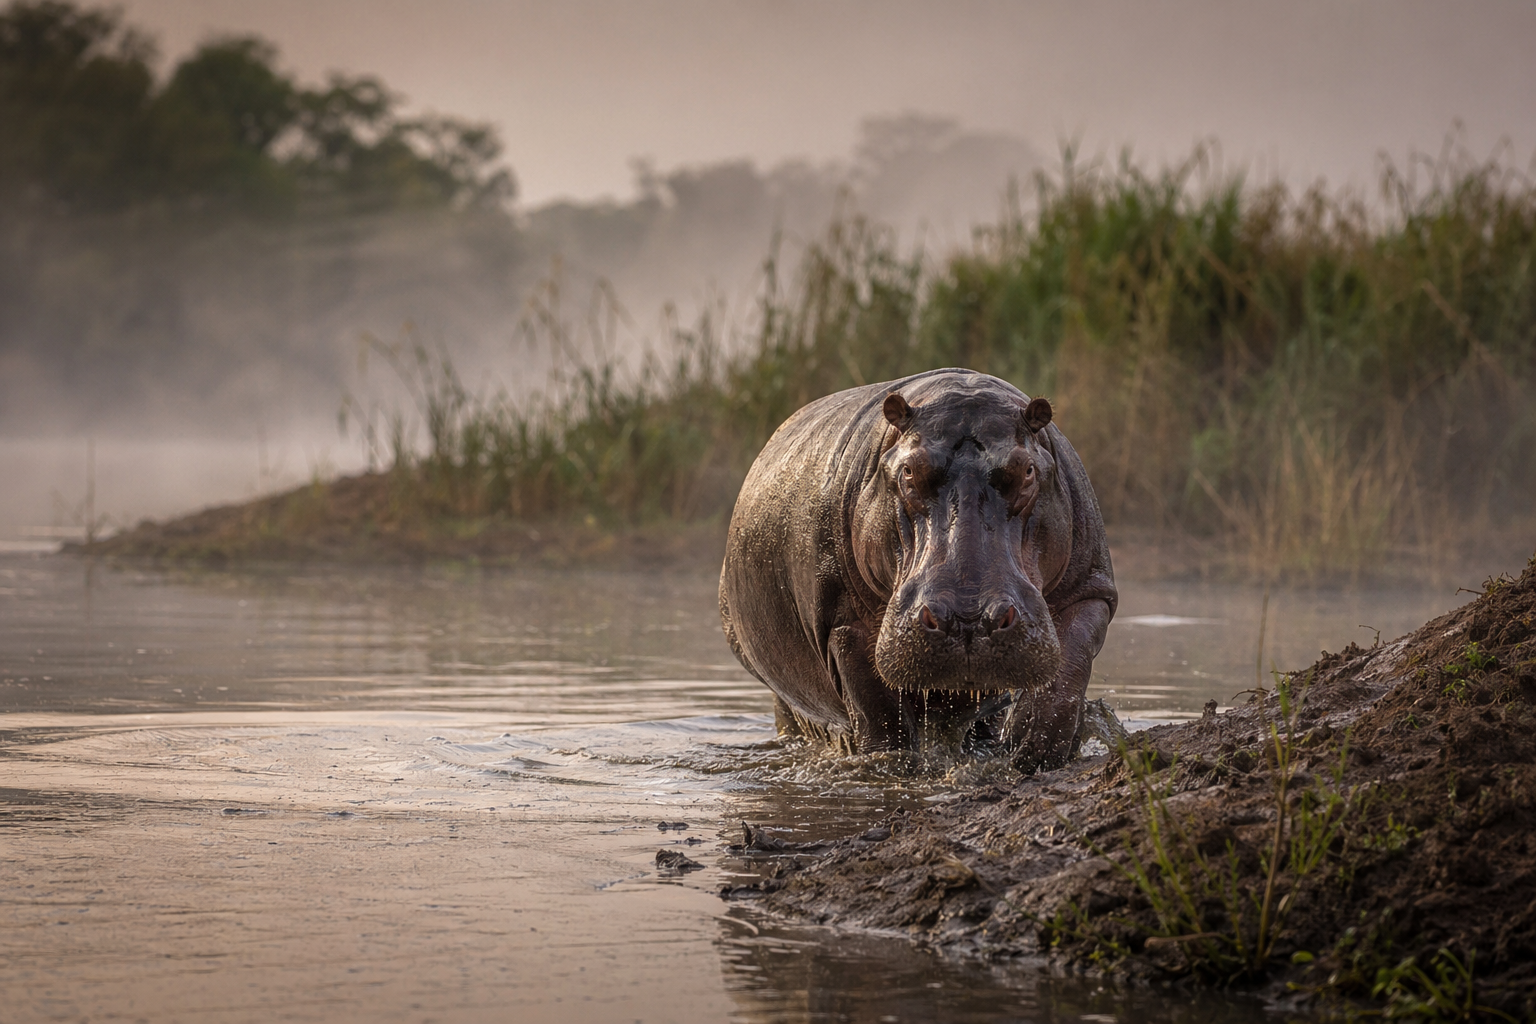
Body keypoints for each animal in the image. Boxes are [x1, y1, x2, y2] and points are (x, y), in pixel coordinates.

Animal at [718, 368, 1117, 772]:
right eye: (909, 470)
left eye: (1029, 470)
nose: (968, 620)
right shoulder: (844, 623)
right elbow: (880, 717)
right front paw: (892, 765)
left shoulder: (1089, 590)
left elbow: (1064, 679)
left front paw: (1030, 749)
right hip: (784, 700)